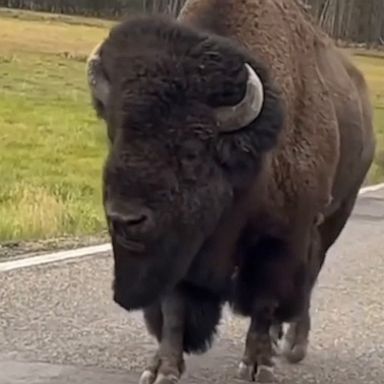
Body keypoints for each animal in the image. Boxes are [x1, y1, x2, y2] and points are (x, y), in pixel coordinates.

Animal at [85, 0, 376, 382]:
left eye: (192, 150)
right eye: (114, 136)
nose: (124, 218)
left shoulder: (281, 239)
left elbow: (264, 301)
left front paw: (257, 365)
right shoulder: (184, 247)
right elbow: (175, 307)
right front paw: (162, 368)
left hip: (335, 216)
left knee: (309, 279)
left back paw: (294, 346)